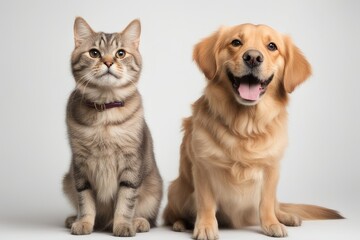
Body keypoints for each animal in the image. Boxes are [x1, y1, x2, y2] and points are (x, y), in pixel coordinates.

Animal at [62, 16, 162, 236]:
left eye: (120, 53)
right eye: (94, 53)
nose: (108, 62)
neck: (105, 114)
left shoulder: (131, 164)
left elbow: (126, 201)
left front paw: (123, 224)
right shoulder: (80, 165)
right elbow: (85, 200)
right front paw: (84, 222)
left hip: (154, 188)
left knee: (149, 216)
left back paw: (139, 222)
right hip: (67, 181)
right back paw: (74, 218)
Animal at [163, 23, 344, 239]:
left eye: (272, 46)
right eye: (236, 42)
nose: (253, 57)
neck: (245, 125)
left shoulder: (272, 168)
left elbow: (266, 202)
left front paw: (271, 223)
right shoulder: (203, 167)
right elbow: (206, 202)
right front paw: (206, 226)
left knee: (276, 204)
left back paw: (285, 216)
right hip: (177, 190)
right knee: (171, 214)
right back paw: (181, 223)